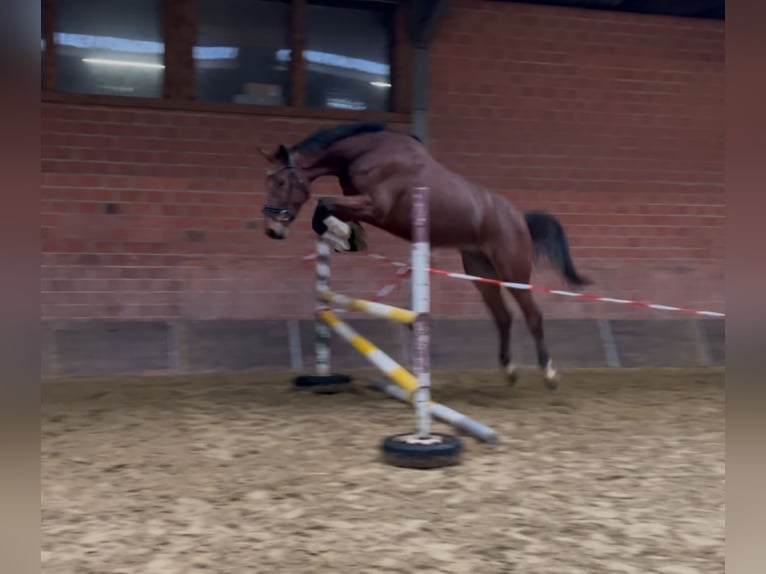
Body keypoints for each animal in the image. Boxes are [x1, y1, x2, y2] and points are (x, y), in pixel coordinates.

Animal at [258, 121, 590, 389]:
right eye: (269, 181)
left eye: (281, 182)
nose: (273, 230)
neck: (367, 152)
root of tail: (520, 219)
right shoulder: (358, 203)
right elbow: (328, 211)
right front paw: (348, 238)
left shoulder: (375, 206)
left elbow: (323, 205)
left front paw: (345, 237)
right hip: (480, 272)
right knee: (503, 317)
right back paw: (508, 369)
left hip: (513, 272)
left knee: (532, 315)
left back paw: (549, 373)